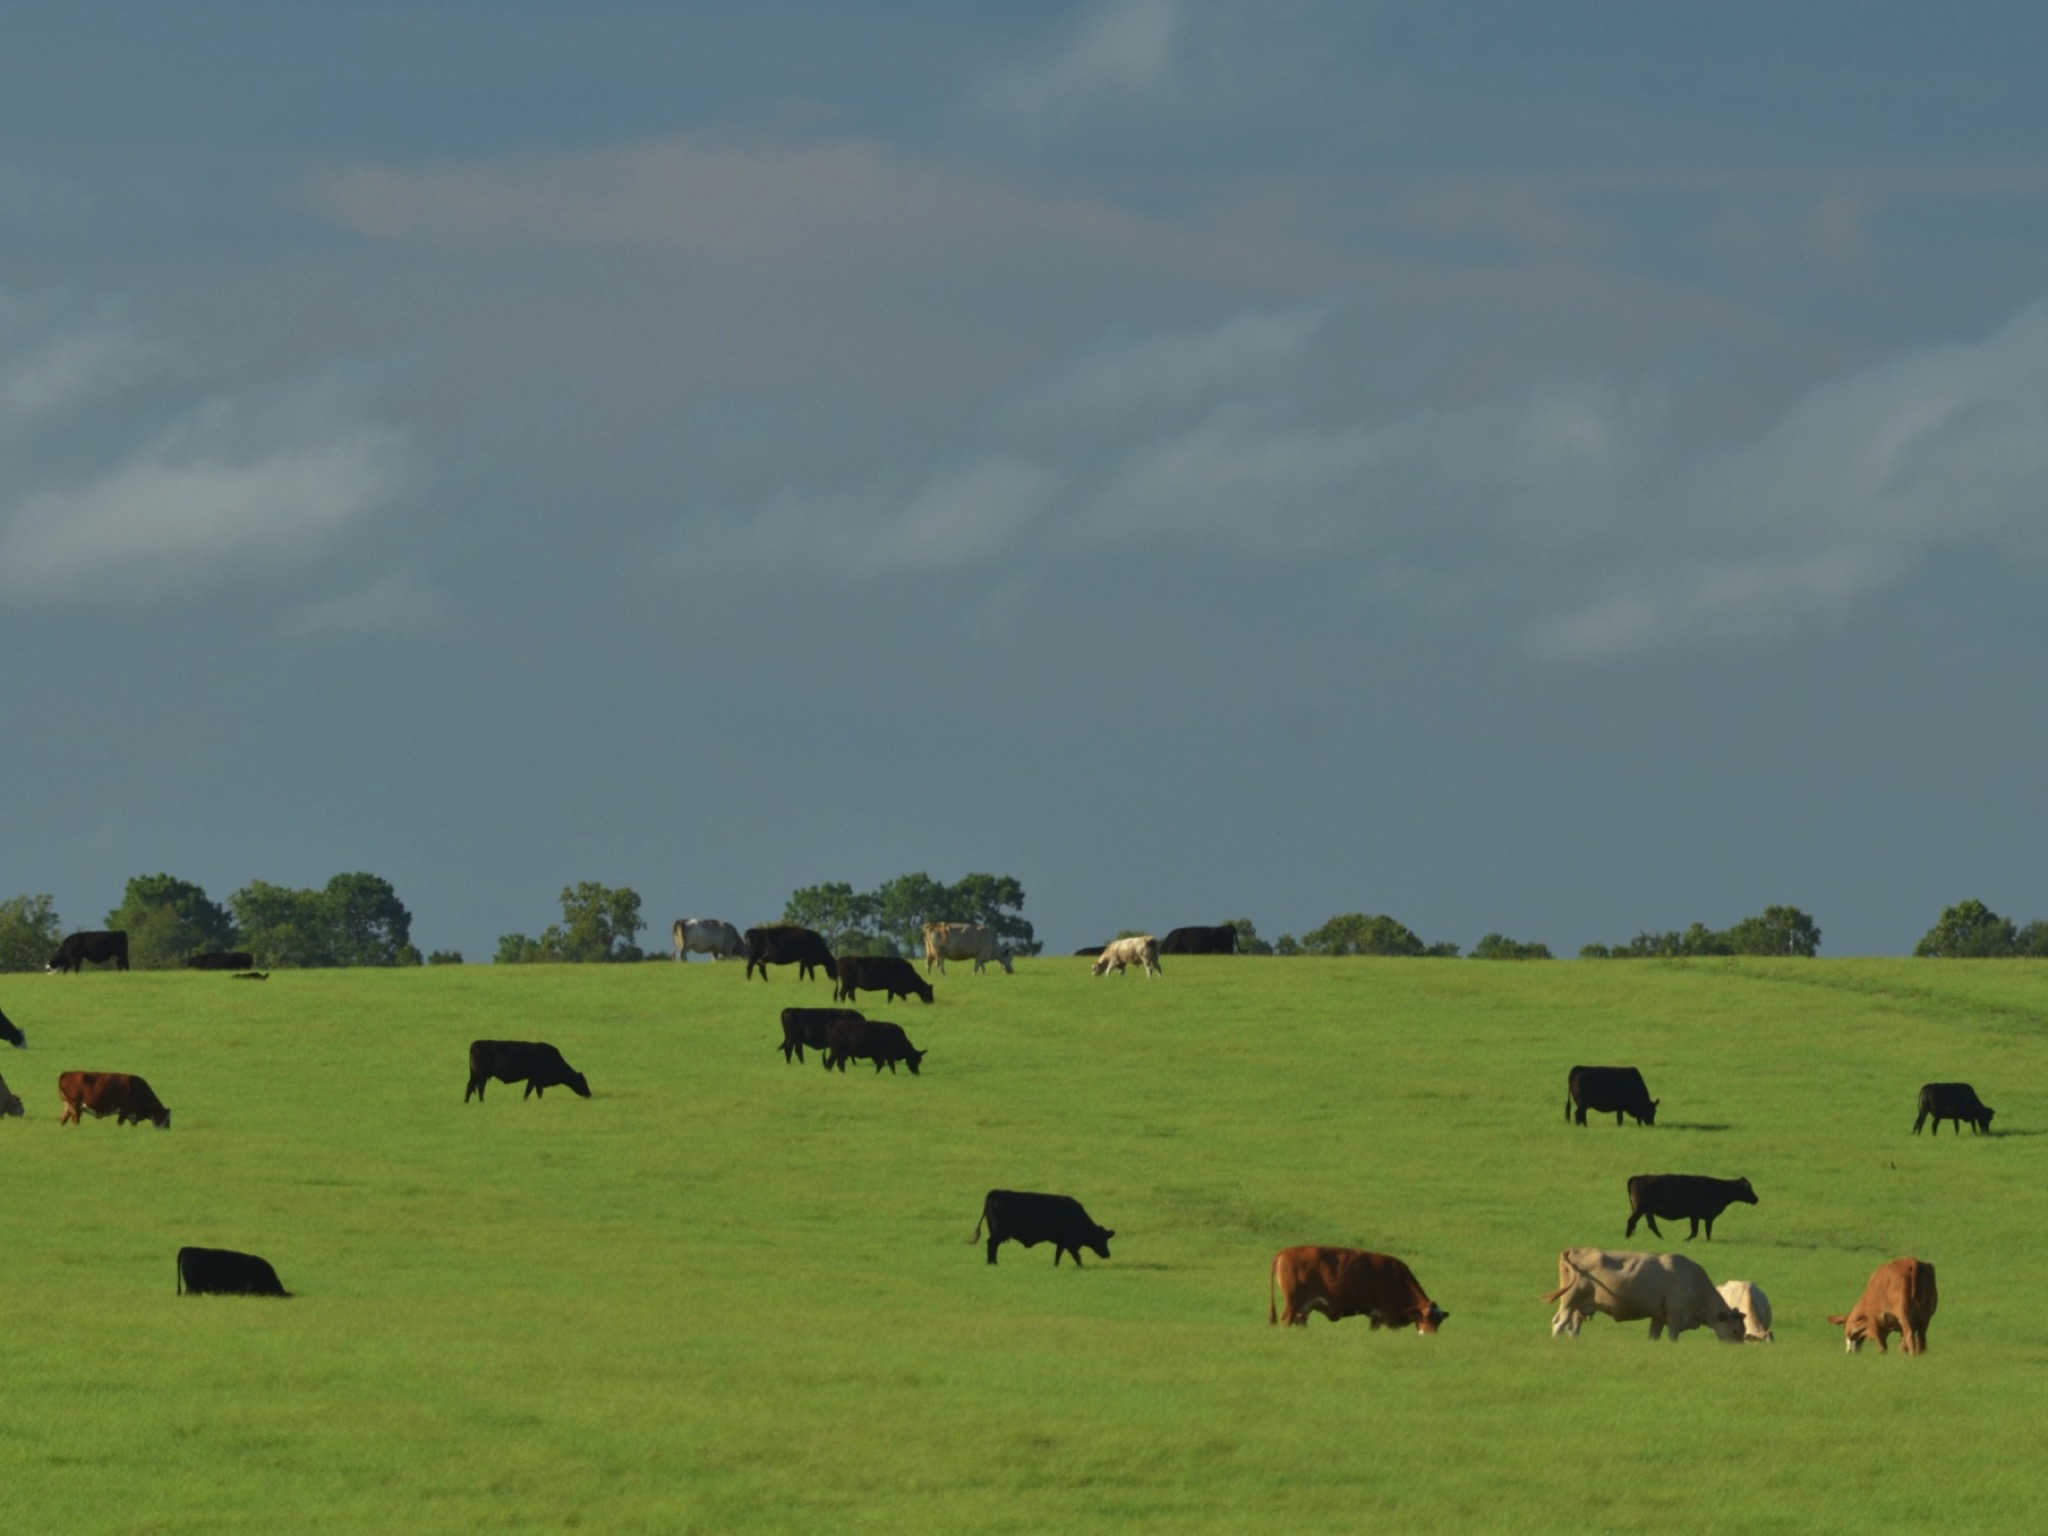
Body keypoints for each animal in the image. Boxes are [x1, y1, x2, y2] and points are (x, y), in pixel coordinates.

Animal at [971, 1190, 1114, 1267]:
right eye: (1102, 1239)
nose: (1108, 1254)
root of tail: (996, 1192)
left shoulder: (1062, 1242)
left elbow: (1058, 1254)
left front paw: (1056, 1266)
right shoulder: (1069, 1242)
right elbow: (1076, 1256)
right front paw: (1080, 1266)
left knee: (993, 1246)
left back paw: (993, 1262)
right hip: (999, 1232)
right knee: (992, 1244)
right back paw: (992, 1263)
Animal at [1268, 1247, 1448, 1332]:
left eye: (1439, 1322)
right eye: (1427, 1318)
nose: (1430, 1337)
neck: (1398, 1279)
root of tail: (1285, 1251)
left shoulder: (1376, 1318)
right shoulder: (1390, 1316)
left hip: (1303, 1308)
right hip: (1292, 1304)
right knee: (1286, 1320)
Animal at [1543, 1248, 1748, 1342]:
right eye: (1736, 1331)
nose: (1739, 1351)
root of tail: (1576, 1249)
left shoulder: (1658, 1317)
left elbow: (1653, 1336)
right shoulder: (1674, 1317)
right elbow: (1672, 1337)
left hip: (1580, 1306)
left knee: (1573, 1327)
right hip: (1569, 1301)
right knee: (1559, 1323)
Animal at [1625, 1174, 1758, 1241]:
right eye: (1748, 1188)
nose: (1756, 1199)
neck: (1720, 1189)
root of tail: (1638, 1177)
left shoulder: (1696, 1215)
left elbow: (1697, 1231)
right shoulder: (1705, 1216)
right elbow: (1701, 1231)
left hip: (1647, 1210)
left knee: (1651, 1224)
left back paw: (1661, 1238)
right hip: (1640, 1208)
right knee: (1631, 1221)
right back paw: (1627, 1238)